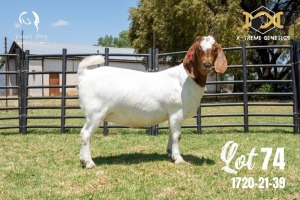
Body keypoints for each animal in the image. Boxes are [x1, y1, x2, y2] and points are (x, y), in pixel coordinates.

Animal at [78, 36, 226, 169]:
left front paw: (169, 153)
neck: (186, 79)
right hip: (96, 113)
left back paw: (82, 159)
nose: (207, 64)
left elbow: (171, 133)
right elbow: (177, 135)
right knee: (85, 134)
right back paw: (89, 163)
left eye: (214, 48)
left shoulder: (171, 115)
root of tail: (85, 74)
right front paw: (178, 159)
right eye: (199, 48)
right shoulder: (176, 111)